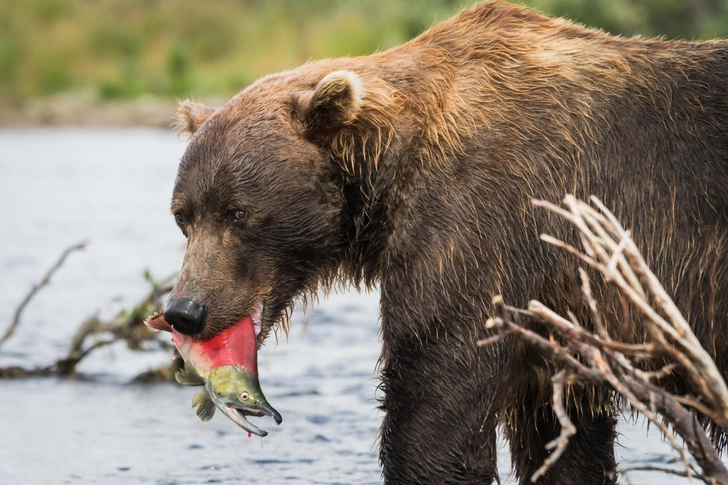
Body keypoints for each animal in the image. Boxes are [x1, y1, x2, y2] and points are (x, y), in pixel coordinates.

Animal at [164, 1, 728, 482]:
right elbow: (563, 441)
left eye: (238, 212)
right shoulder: (561, 323)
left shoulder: (479, 228)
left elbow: (435, 407)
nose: (184, 311)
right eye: (183, 217)